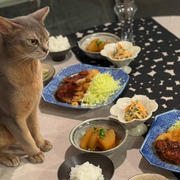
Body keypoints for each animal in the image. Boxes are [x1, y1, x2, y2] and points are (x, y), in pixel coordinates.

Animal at [0, 6, 52, 167]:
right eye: (33, 41)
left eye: (47, 37)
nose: (46, 49)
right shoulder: (11, 116)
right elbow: (25, 136)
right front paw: (35, 153)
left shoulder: (33, 108)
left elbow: (34, 129)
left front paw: (40, 143)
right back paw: (9, 157)